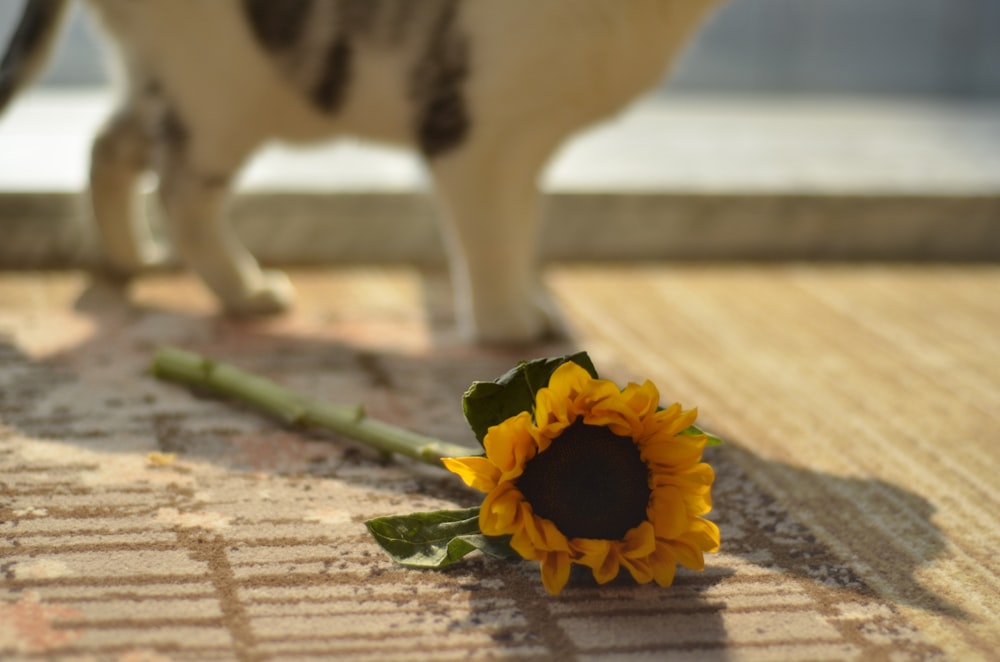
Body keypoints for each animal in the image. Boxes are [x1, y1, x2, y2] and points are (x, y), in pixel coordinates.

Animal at [0, 0, 720, 342]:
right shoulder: (476, 135)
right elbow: (491, 240)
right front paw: (503, 323)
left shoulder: (529, 141)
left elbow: (520, 229)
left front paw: (533, 308)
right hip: (219, 93)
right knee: (182, 193)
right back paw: (246, 291)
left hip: (166, 80)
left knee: (107, 146)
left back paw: (129, 259)